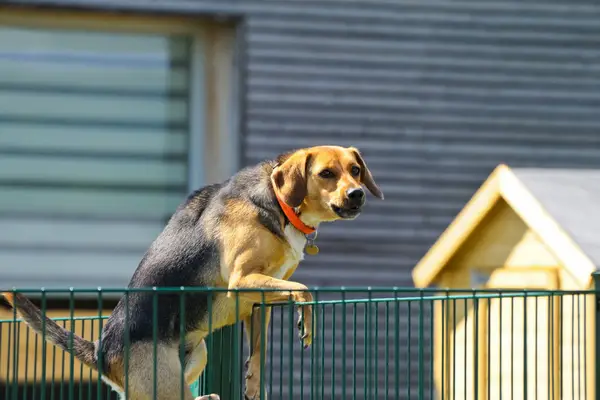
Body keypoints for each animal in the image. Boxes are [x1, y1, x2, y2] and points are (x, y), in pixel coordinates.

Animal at [2, 145, 384, 398]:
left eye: (356, 170)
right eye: (326, 174)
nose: (358, 195)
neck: (279, 201)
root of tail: (100, 351)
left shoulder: (260, 297)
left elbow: (259, 347)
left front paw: (254, 382)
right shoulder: (242, 281)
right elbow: (304, 289)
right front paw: (307, 323)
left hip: (197, 353)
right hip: (165, 383)